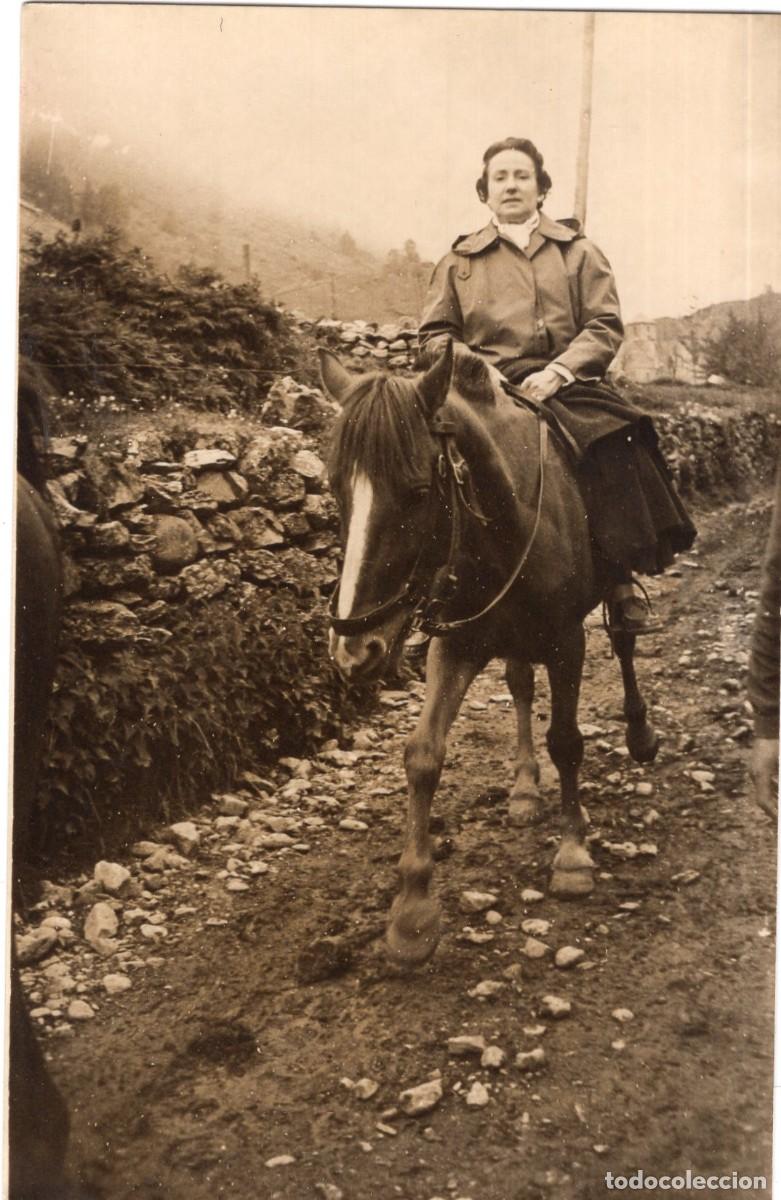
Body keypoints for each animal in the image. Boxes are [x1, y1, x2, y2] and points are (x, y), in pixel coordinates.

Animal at [320, 341, 659, 967]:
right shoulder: (455, 646)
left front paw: (572, 855)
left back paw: (640, 733)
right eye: (336, 489)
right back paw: (524, 788)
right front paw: (412, 910)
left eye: (418, 492)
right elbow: (423, 755)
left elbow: (567, 742)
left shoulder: (566, 641)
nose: (355, 648)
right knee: (521, 685)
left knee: (623, 645)